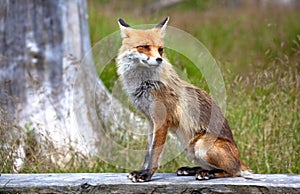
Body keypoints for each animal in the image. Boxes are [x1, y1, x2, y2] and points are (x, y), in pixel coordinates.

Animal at [116, 16, 250, 182]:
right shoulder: (150, 121)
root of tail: (239, 159)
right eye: (144, 47)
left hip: (201, 146)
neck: (145, 84)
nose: (159, 59)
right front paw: (141, 171)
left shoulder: (161, 120)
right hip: (190, 148)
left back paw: (209, 174)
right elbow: (148, 152)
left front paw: (146, 175)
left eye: (160, 49)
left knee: (233, 171)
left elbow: (154, 154)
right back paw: (193, 169)